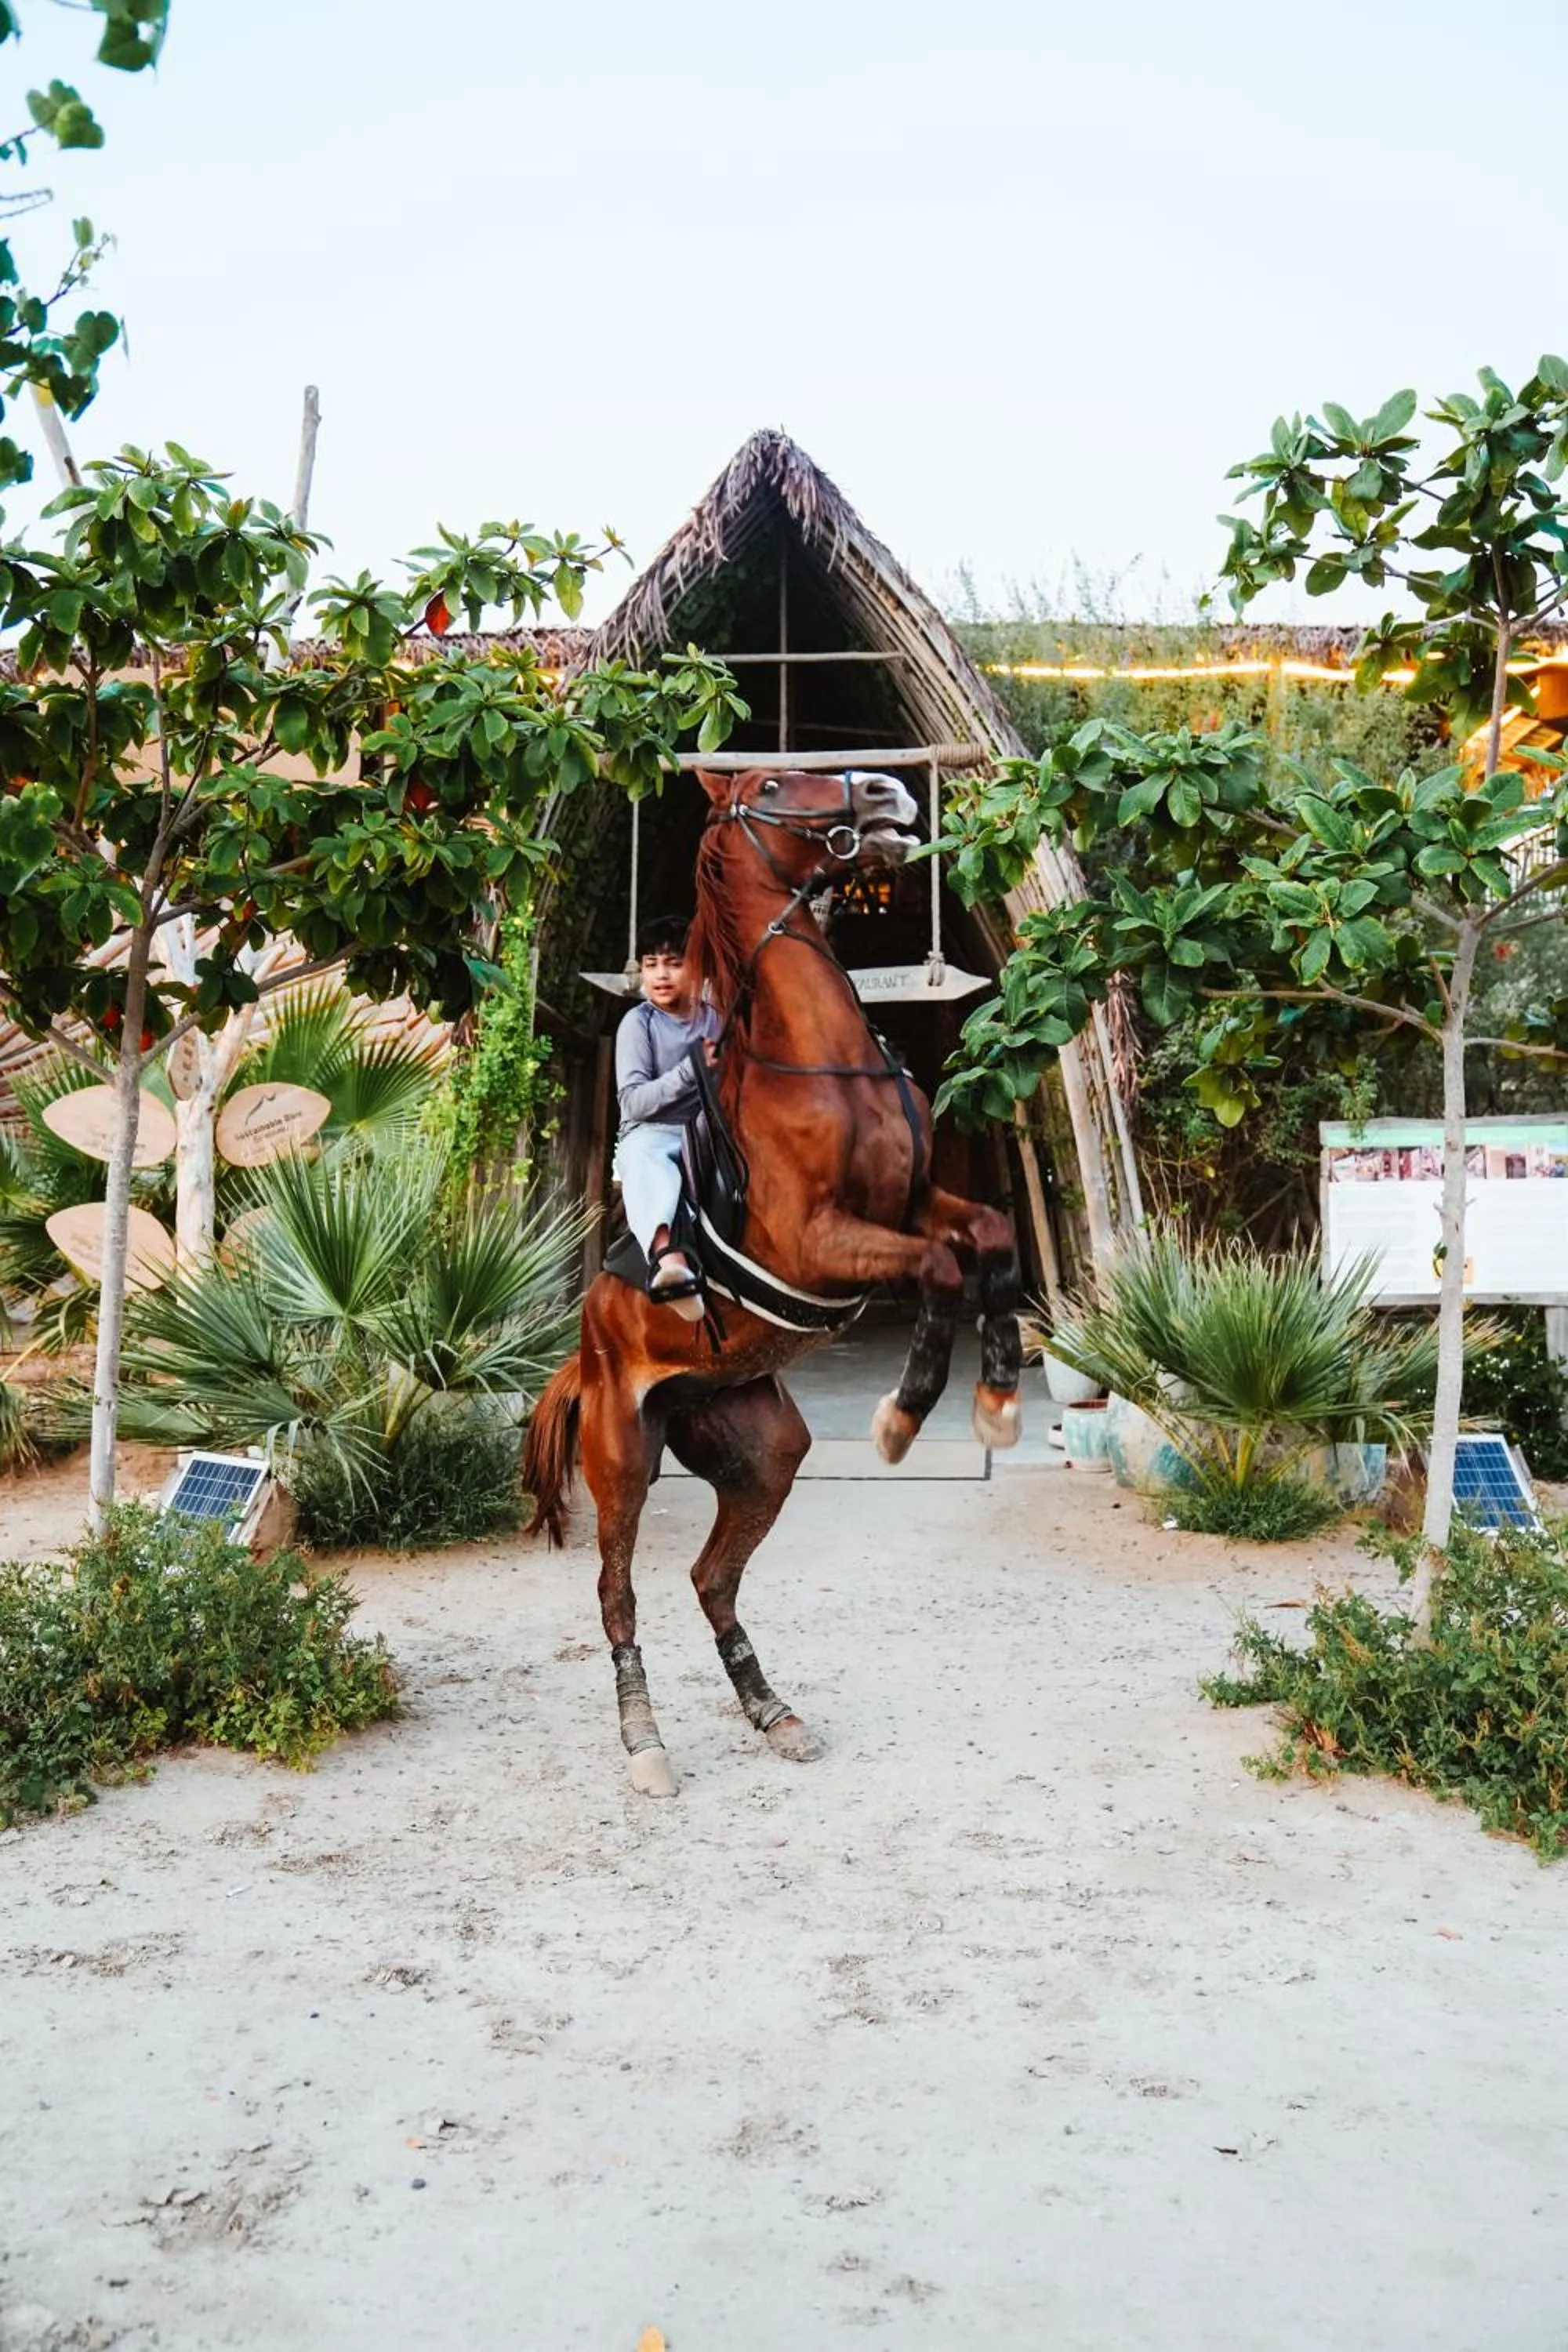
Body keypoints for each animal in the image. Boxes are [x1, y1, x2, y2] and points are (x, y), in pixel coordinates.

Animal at [522, 766, 1023, 1796]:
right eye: (768, 781)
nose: (886, 792)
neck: (822, 1060)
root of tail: (585, 1352)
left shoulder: (917, 1199)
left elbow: (990, 1239)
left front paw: (997, 1398)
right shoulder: (822, 1240)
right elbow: (941, 1269)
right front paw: (902, 1416)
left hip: (760, 1447)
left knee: (710, 1580)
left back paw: (770, 1711)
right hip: (621, 1454)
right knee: (617, 1592)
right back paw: (645, 1745)